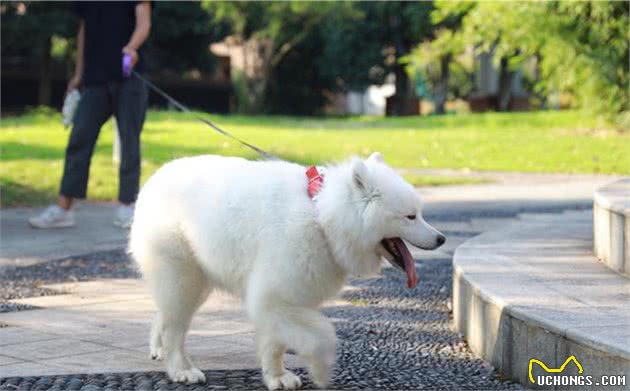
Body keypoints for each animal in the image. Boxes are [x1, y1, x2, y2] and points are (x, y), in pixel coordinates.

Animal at [130, 152, 444, 388]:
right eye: (410, 216)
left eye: (420, 213)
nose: (441, 238)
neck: (322, 217)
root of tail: (152, 181)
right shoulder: (274, 295)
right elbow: (321, 335)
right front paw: (320, 370)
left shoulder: (284, 298)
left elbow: (276, 344)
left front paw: (277, 377)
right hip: (181, 274)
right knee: (175, 328)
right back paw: (181, 369)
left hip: (196, 279)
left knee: (166, 315)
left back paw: (158, 349)